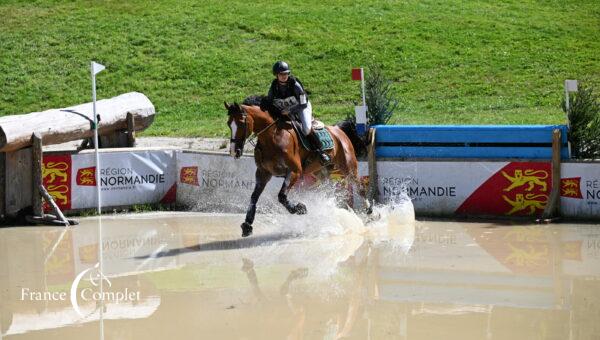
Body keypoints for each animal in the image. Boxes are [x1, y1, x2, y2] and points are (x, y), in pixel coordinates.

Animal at [225, 99, 366, 238]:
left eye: (241, 123)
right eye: (228, 124)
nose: (234, 151)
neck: (272, 137)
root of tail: (338, 129)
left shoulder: (294, 171)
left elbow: (282, 196)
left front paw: (299, 208)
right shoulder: (263, 173)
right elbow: (254, 197)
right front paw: (247, 225)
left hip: (348, 167)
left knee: (359, 187)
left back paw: (368, 212)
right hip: (322, 171)